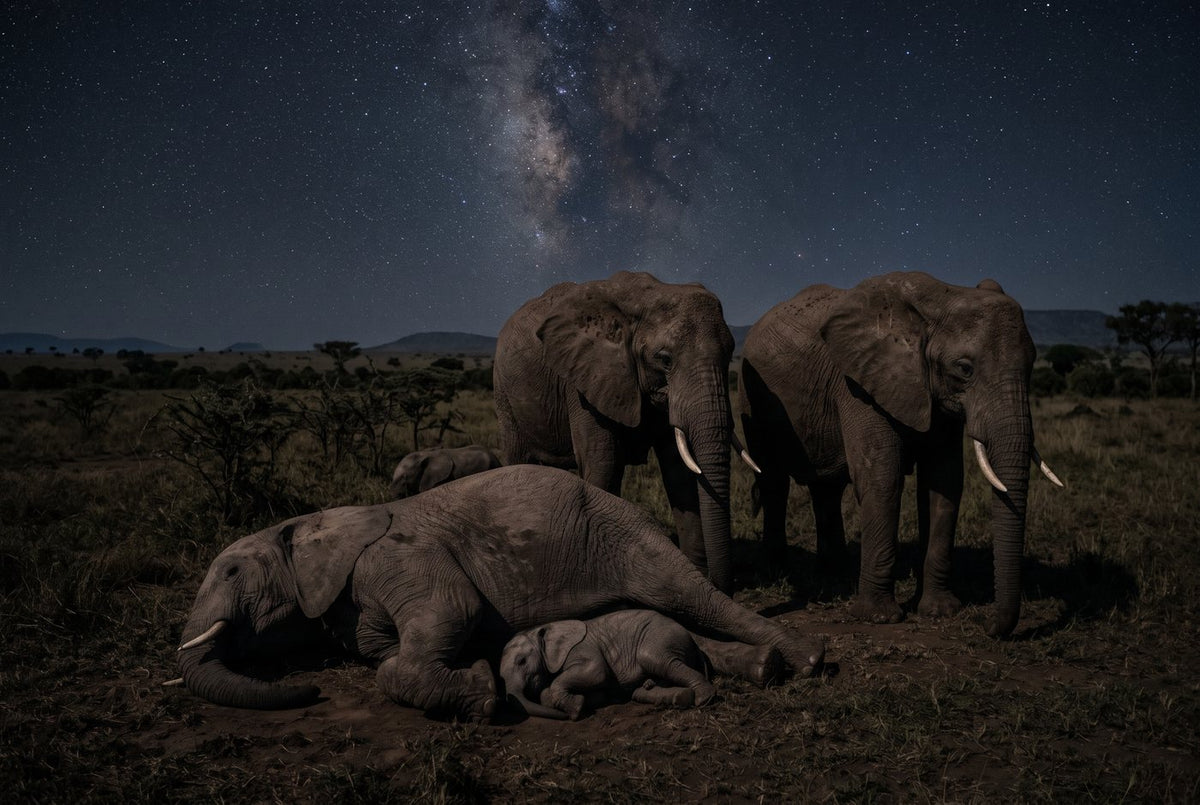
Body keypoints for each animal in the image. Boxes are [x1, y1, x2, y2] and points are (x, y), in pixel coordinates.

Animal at [494, 270, 756, 594]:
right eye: (664, 358)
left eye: (731, 352)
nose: (722, 585)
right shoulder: (584, 382)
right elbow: (603, 464)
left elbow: (679, 473)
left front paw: (696, 580)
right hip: (504, 392)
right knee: (518, 458)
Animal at [500, 610, 784, 720]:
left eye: (522, 661)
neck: (543, 630)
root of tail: (691, 640)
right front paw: (582, 703)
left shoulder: (581, 648)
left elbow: (596, 672)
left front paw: (576, 708)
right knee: (643, 686)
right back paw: (677, 697)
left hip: (660, 637)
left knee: (656, 659)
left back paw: (703, 699)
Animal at [738, 272, 1062, 637]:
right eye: (964, 369)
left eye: (1033, 364)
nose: (989, 627)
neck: (940, 300)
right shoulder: (858, 384)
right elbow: (882, 478)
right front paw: (878, 618)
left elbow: (943, 483)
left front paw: (939, 612)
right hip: (752, 394)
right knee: (774, 481)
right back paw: (778, 572)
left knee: (827, 489)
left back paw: (834, 573)